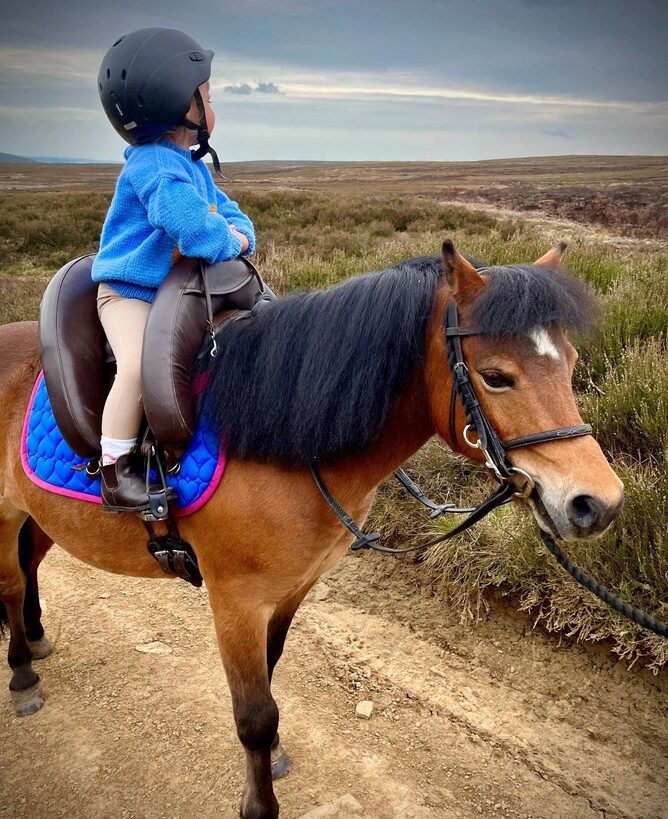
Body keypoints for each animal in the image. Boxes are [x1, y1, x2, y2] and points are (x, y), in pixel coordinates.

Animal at [0, 240, 623, 819]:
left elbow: (271, 678)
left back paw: (36, 636)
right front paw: (259, 802)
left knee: (31, 567)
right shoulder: (235, 601)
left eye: (570, 363)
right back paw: (23, 674)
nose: (599, 504)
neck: (288, 442)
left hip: (41, 516)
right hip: (7, 515)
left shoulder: (294, 588)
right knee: (10, 583)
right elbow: (253, 715)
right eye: (496, 377)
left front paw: (273, 756)